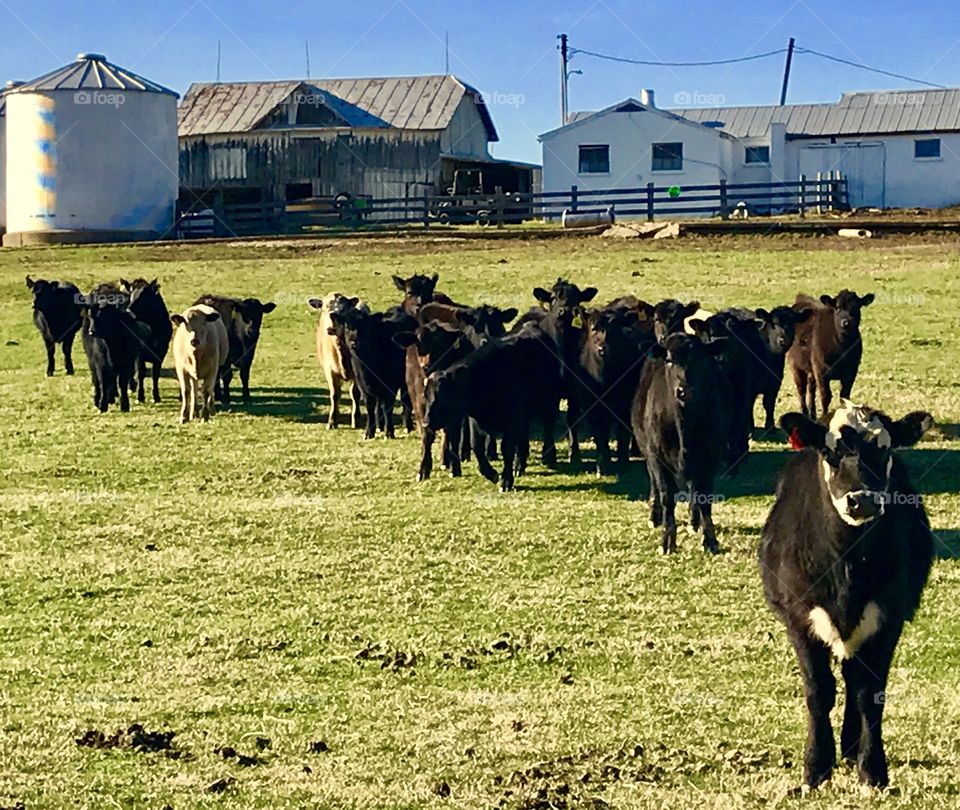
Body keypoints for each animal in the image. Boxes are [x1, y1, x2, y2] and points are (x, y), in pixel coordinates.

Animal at [310, 292, 366, 430]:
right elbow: (335, 394)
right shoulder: (330, 370)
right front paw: (332, 421)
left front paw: (356, 419)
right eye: (324, 309)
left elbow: (355, 393)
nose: (331, 328)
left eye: (343, 311)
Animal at [632, 332, 732, 552]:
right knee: (655, 485)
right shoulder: (657, 457)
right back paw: (655, 516)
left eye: (703, 360)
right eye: (669, 360)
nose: (684, 390)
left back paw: (694, 522)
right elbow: (667, 495)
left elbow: (704, 497)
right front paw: (667, 541)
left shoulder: (710, 456)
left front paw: (710, 540)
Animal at [760, 400, 932, 792]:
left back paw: (853, 749)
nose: (863, 500)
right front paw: (815, 767)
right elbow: (818, 691)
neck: (847, 564)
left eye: (885, 450)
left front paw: (873, 770)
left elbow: (870, 694)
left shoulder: (887, 619)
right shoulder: (800, 619)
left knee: (856, 681)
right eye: (831, 452)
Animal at [788, 288, 872, 416]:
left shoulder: (851, 371)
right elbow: (825, 396)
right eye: (837, 308)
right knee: (801, 389)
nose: (846, 322)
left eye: (857, 307)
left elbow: (844, 397)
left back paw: (812, 414)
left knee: (811, 387)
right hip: (795, 364)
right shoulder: (821, 371)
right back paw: (805, 413)